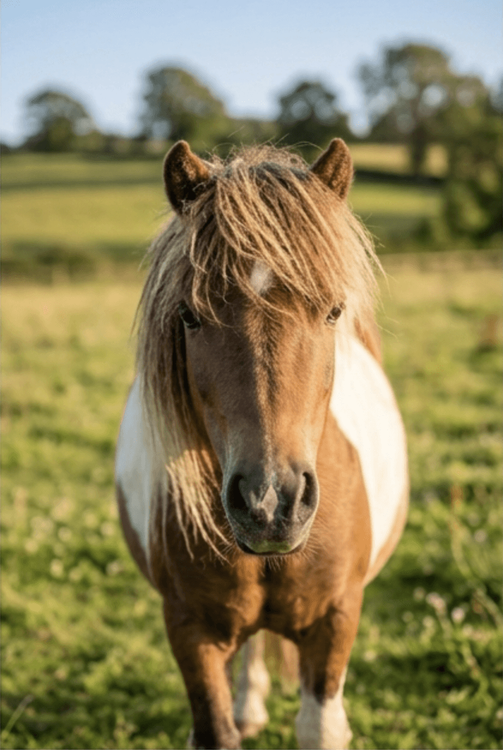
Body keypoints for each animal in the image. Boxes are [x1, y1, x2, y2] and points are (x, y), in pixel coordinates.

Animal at [115, 138, 408, 749]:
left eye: (333, 311)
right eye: (189, 315)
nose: (271, 503)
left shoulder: (335, 621)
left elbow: (320, 727)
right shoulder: (191, 631)